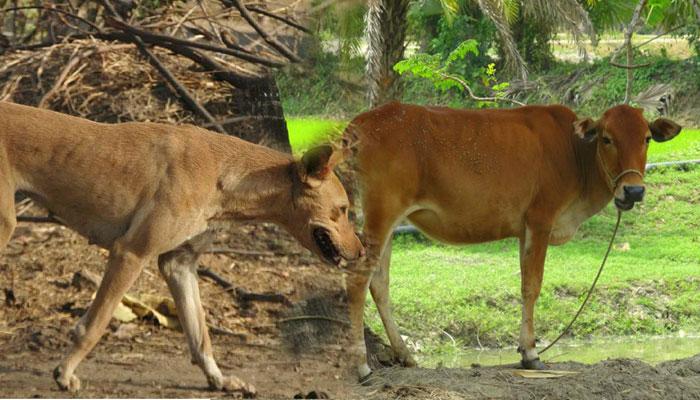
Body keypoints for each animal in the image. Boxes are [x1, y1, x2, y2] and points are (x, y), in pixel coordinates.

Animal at [0, 101, 360, 396]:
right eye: (342, 210)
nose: (361, 253)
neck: (223, 173)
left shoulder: (179, 265)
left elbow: (201, 336)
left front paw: (220, 380)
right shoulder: (130, 253)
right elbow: (95, 325)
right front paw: (65, 373)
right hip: (5, 226)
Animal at [344, 102, 684, 378]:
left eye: (647, 138)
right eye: (607, 138)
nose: (634, 190)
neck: (575, 154)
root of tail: (359, 123)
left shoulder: (524, 230)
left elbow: (524, 284)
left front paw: (524, 349)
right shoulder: (540, 220)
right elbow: (532, 285)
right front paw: (531, 354)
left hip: (388, 221)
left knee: (380, 282)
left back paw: (405, 355)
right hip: (380, 212)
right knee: (359, 278)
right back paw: (361, 365)